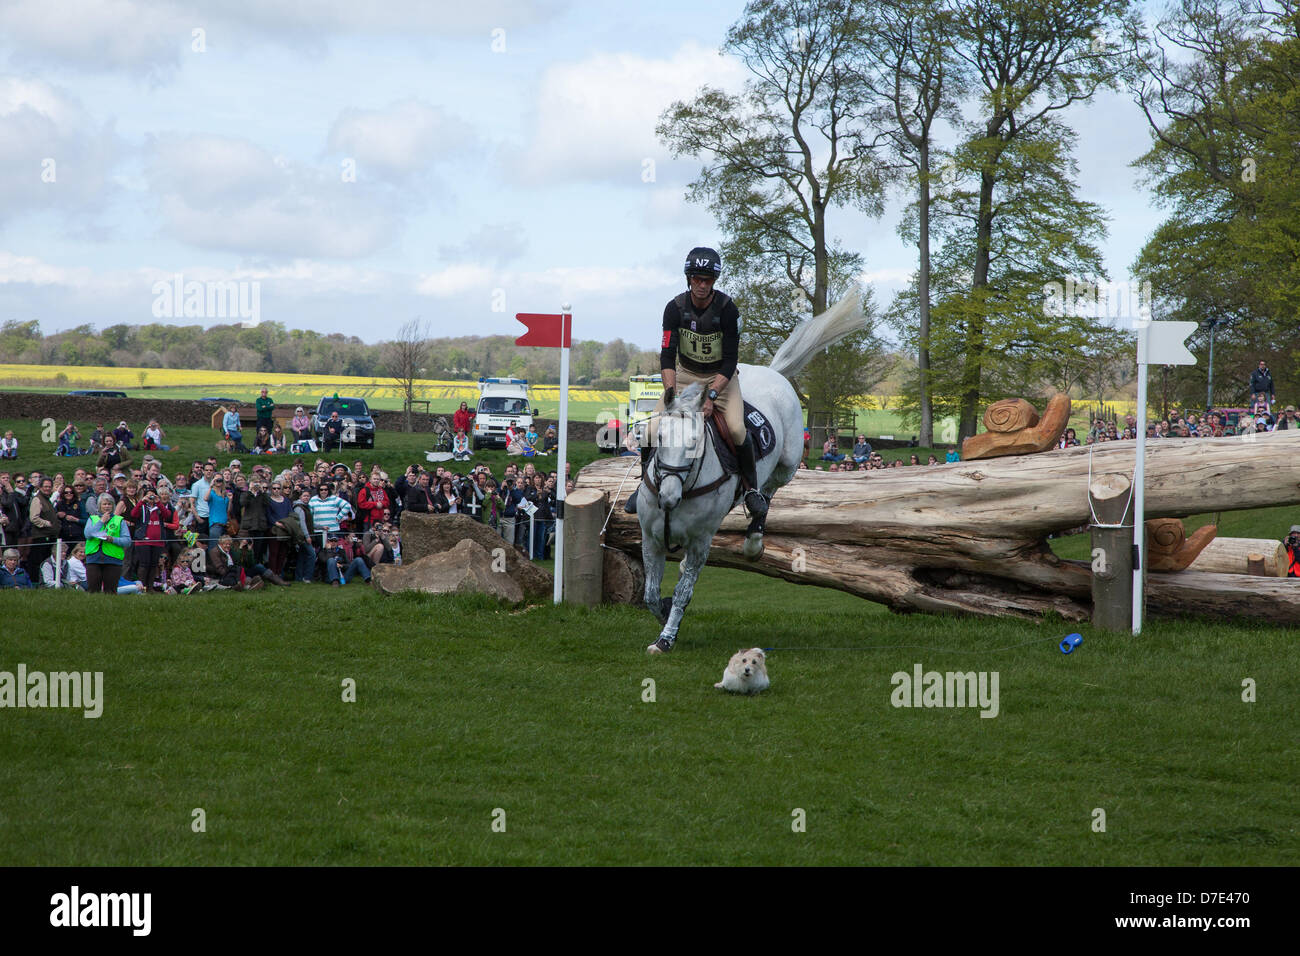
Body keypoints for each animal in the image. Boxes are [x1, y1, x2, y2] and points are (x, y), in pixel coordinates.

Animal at [637, 293, 868, 650]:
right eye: (659, 438)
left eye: (696, 442)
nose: (668, 498)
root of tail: (773, 374)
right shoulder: (651, 537)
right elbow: (650, 594)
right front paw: (663, 612)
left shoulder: (700, 542)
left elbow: (683, 592)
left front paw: (666, 638)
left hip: (787, 464)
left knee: (767, 493)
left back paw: (754, 539)